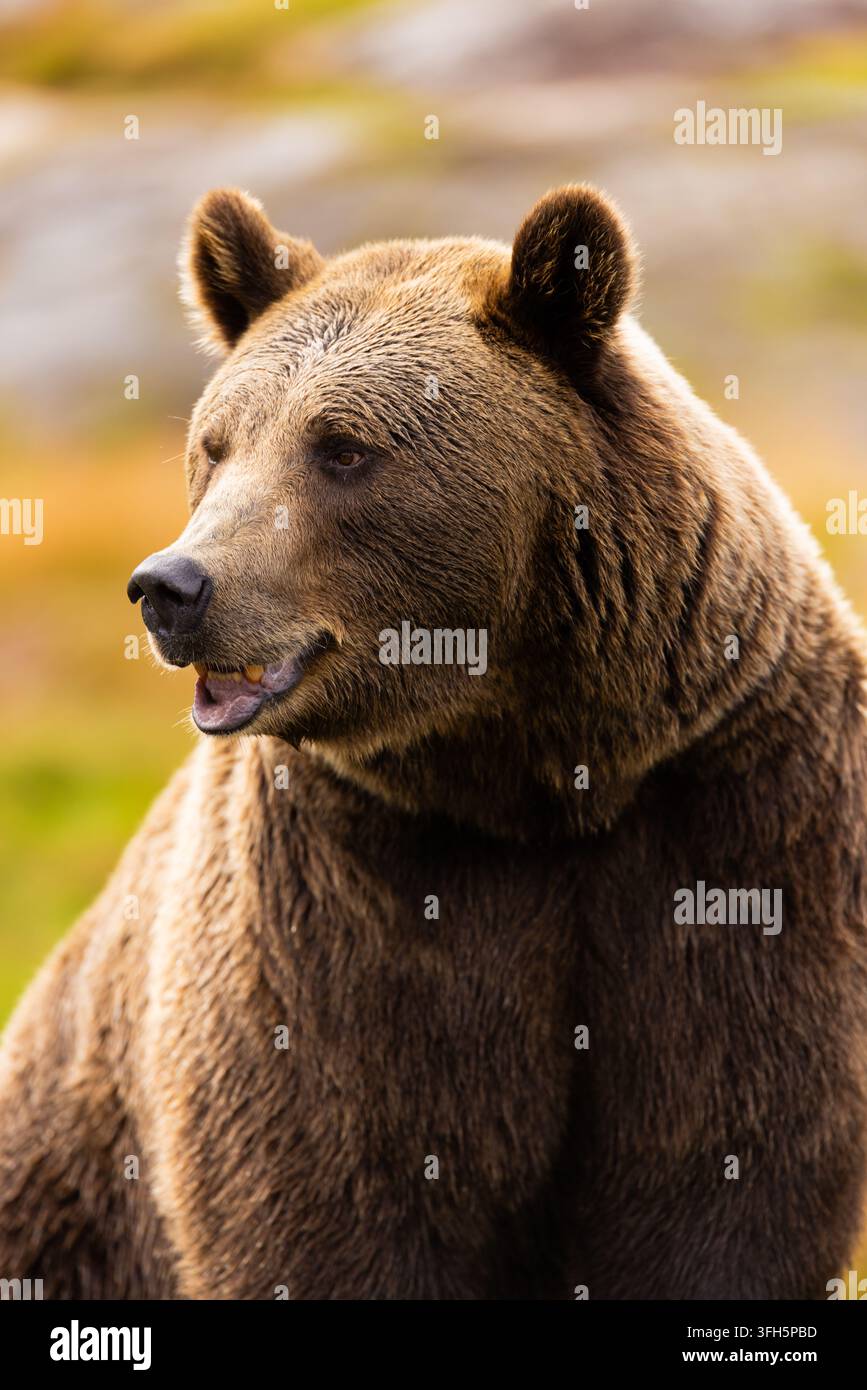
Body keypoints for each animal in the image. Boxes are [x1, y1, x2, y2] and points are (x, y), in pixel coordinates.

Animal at [1, 183, 866, 1300]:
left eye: (342, 446)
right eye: (216, 443)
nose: (173, 587)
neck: (531, 776)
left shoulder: (736, 825)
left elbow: (723, 1184)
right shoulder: (335, 906)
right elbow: (326, 1200)